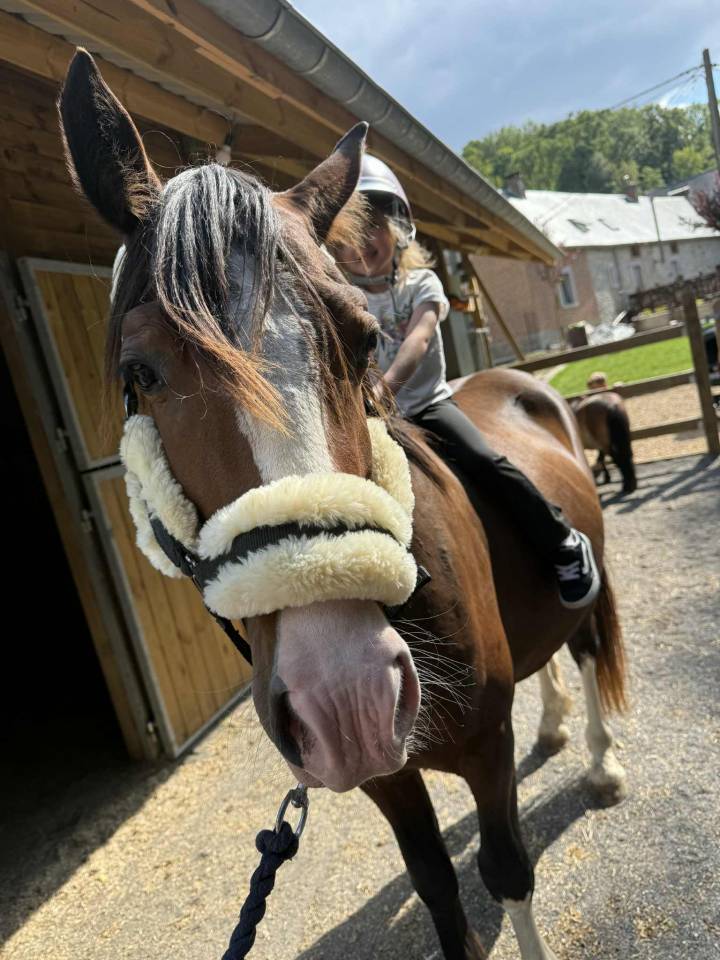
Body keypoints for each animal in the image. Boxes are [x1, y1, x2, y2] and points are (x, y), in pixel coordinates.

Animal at [60, 50, 627, 960]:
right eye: (138, 373)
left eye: (363, 341)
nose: (346, 700)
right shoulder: (387, 782)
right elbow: (438, 888)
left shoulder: (484, 746)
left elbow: (507, 875)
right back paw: (555, 727)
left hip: (588, 577)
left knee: (584, 644)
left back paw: (604, 763)